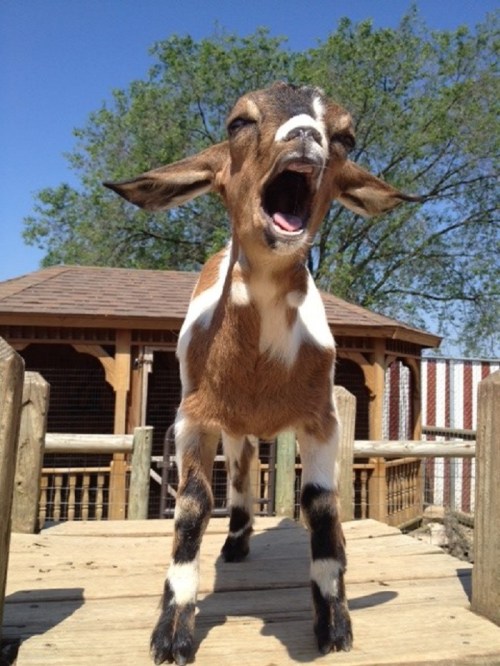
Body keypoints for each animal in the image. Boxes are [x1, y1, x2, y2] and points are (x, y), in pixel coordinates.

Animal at [105, 81, 419, 665]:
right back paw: (236, 542)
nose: (306, 135)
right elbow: (193, 504)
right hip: (231, 425)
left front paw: (334, 620)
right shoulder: (194, 416)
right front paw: (172, 631)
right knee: (242, 470)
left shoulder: (322, 417)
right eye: (238, 121)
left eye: (346, 136)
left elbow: (321, 504)